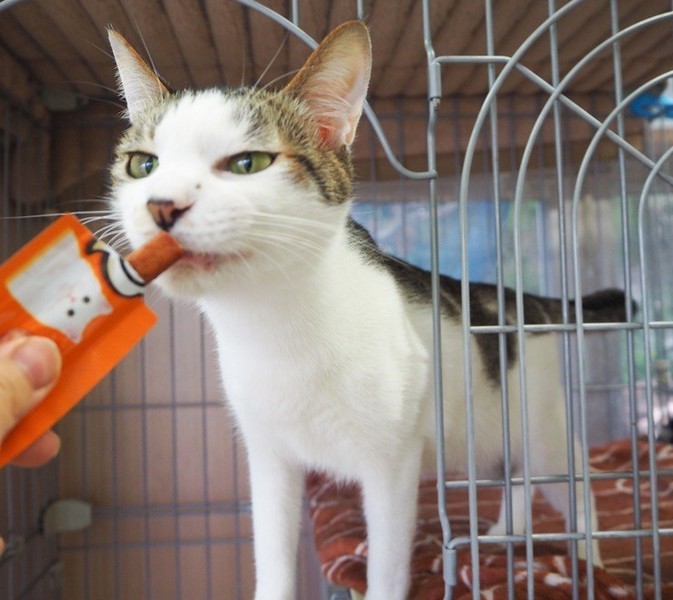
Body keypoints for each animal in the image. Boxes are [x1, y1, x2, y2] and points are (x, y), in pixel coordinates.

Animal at [107, 21, 623, 599]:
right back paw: (500, 537)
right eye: (143, 165)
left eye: (248, 163)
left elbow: (386, 567)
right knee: (514, 481)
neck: (274, 324)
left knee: (573, 482)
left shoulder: (391, 465)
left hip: (539, 427)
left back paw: (588, 562)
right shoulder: (270, 458)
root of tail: (522, 300)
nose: (162, 206)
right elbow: (273, 559)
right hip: (487, 438)